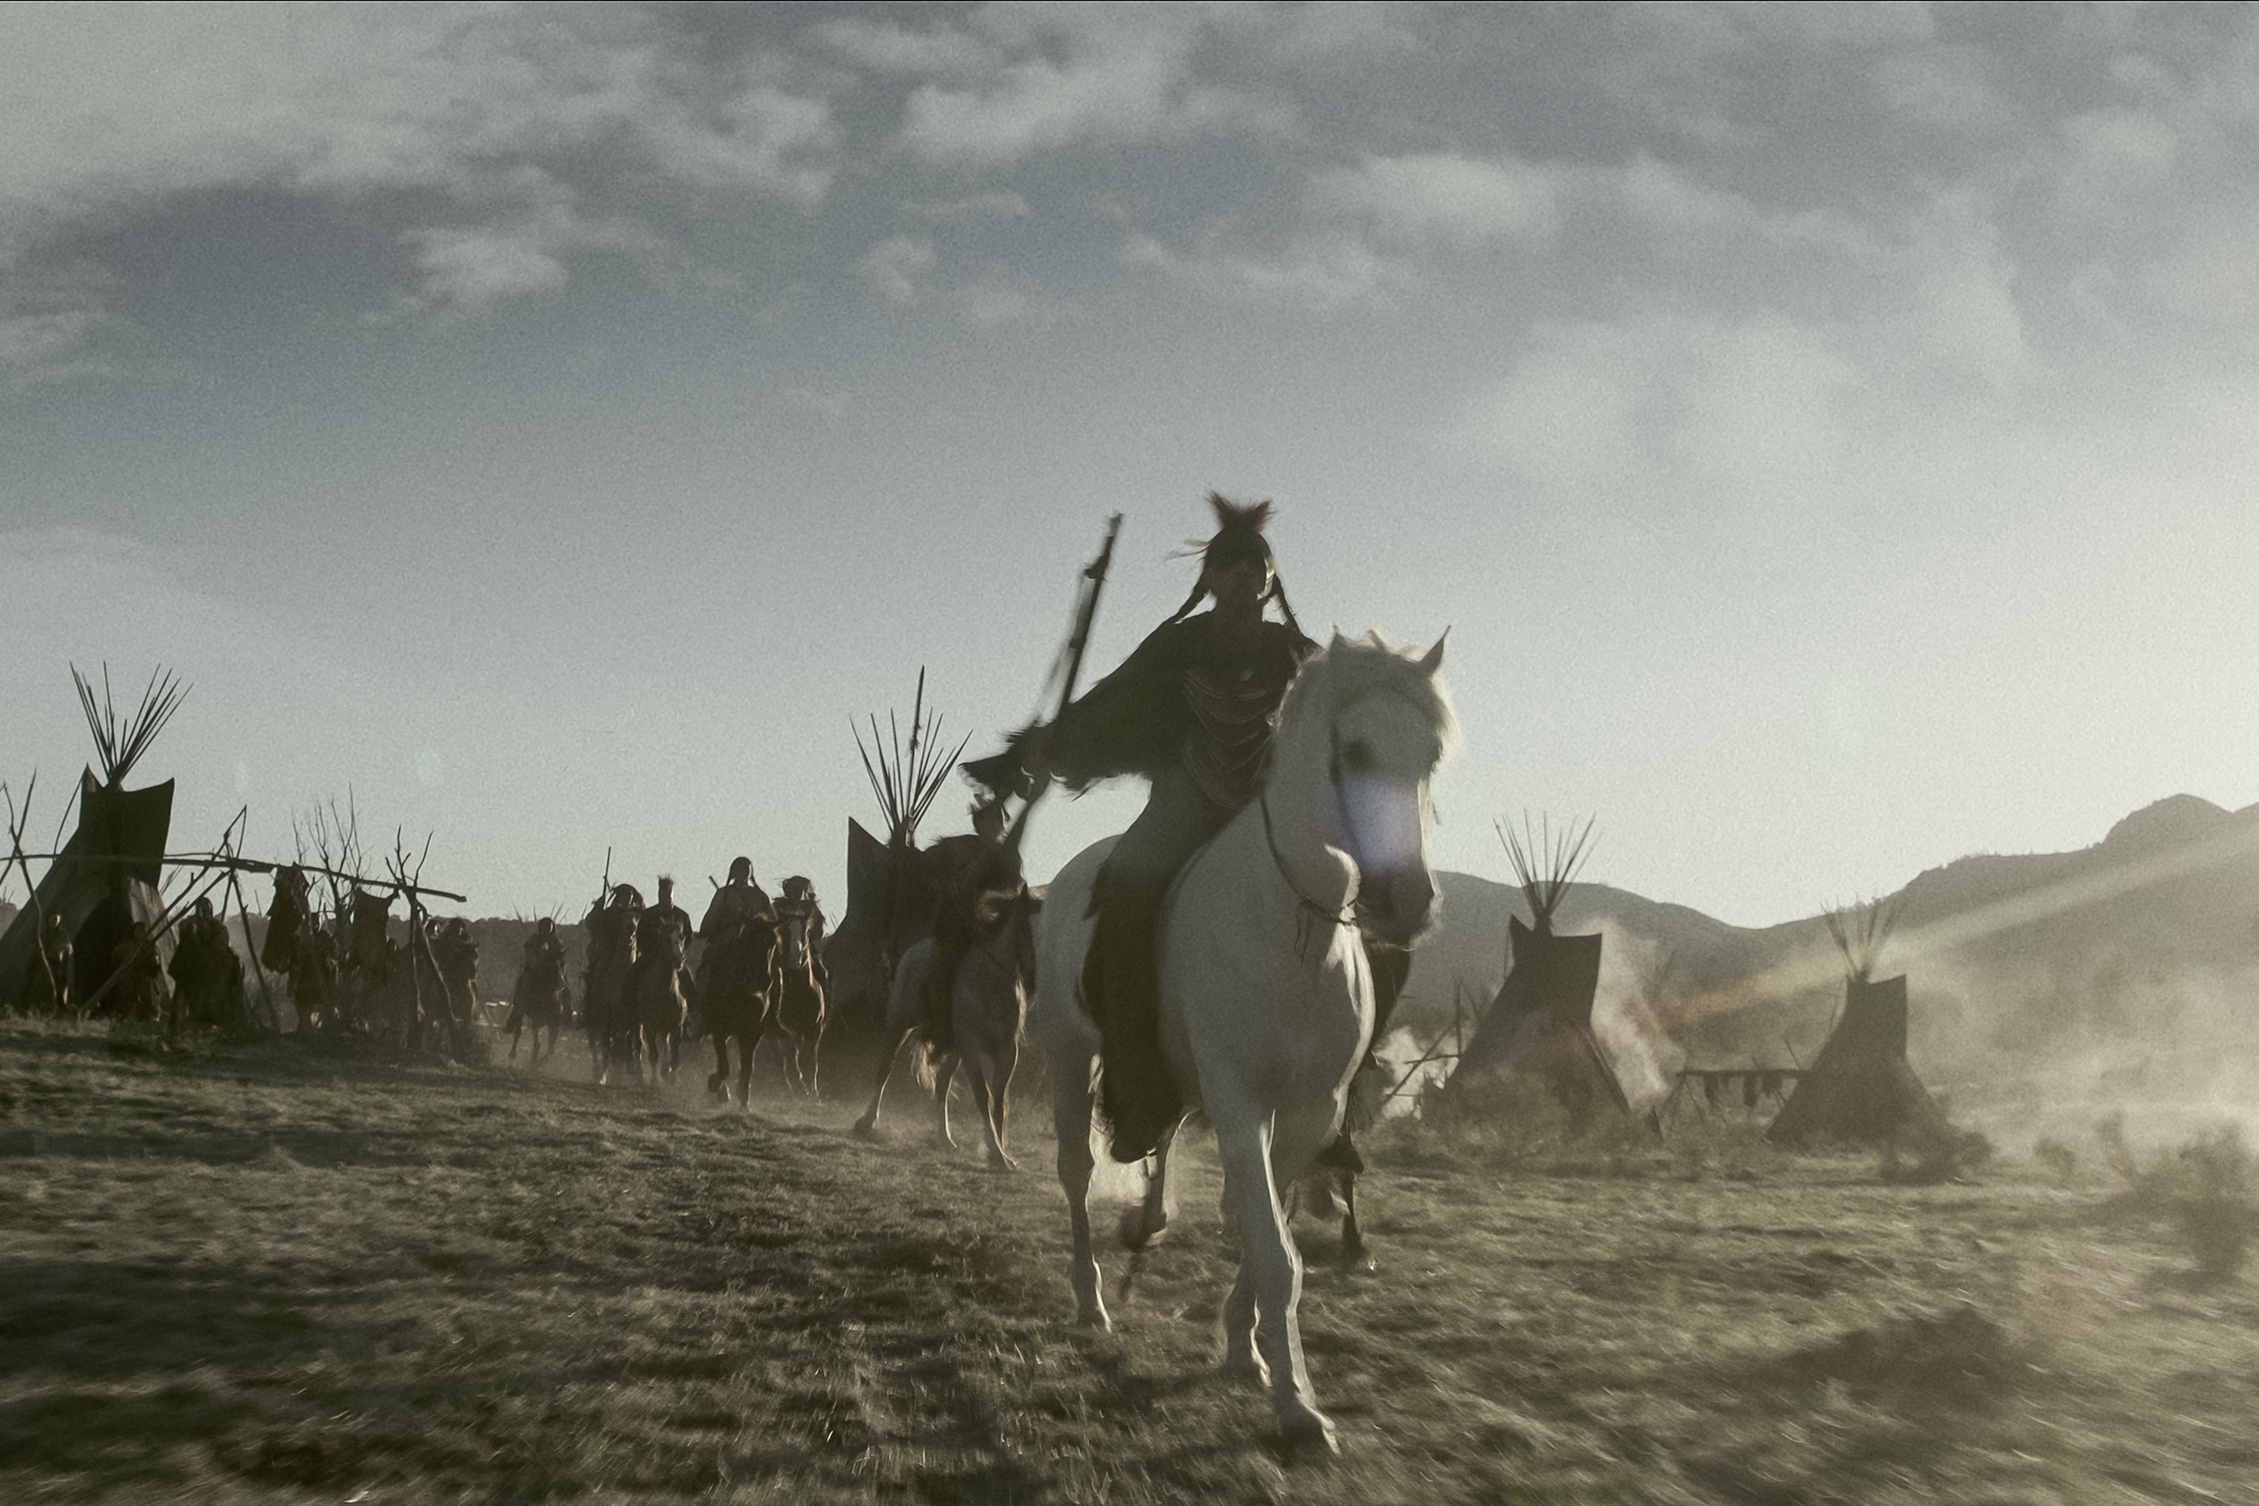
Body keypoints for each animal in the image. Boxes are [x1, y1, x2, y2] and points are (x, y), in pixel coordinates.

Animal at [1034, 632, 1454, 1454]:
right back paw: (1090, 1298)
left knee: (1160, 1144)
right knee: (1075, 1173)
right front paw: (1297, 1407)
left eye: (1430, 755)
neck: (1292, 933)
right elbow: (1272, 1248)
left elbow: (1271, 1241)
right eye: (1352, 750)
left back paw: (1149, 1225)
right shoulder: (1238, 1103)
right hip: (1067, 1055)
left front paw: (1243, 1347)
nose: (1406, 901)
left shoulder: (1309, 1113)